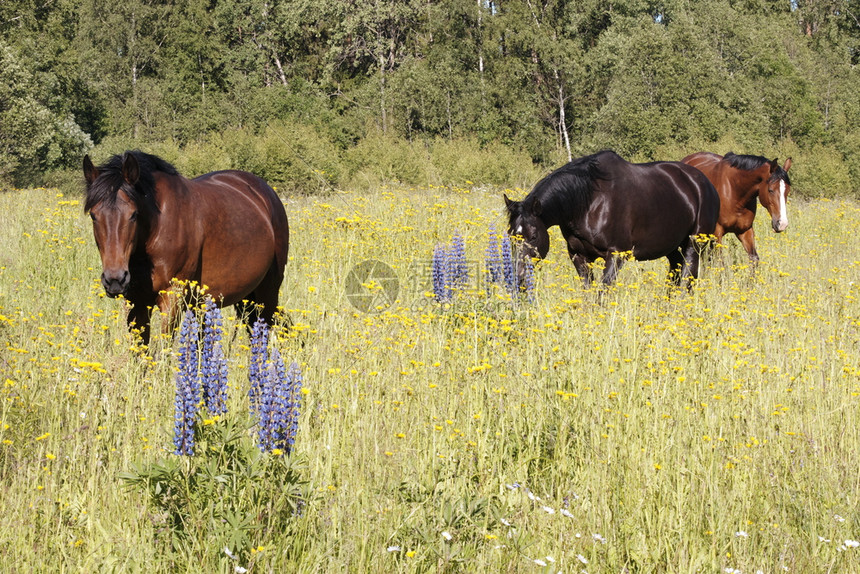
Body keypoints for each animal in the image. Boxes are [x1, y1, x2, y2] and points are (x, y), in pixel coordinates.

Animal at [85, 151, 290, 344]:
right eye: (94, 215)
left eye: (134, 214)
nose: (115, 280)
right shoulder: (136, 302)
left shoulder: (172, 298)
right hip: (239, 297)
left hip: (267, 293)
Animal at [504, 151, 720, 290]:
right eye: (510, 235)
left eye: (533, 236)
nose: (519, 278)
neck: (590, 202)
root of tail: (706, 184)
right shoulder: (579, 255)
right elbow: (588, 291)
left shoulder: (616, 254)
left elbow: (603, 291)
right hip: (672, 247)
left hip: (694, 243)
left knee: (688, 278)